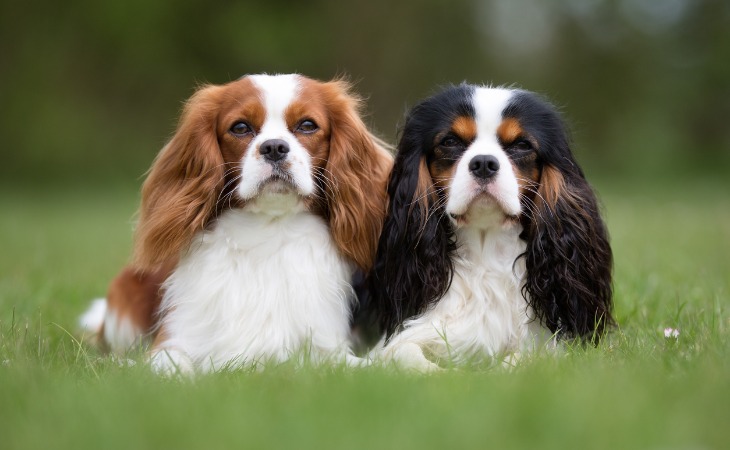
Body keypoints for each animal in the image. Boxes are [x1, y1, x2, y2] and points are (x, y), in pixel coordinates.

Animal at [79, 75, 392, 374]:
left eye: (307, 125)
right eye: (240, 128)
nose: (274, 147)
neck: (268, 229)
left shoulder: (326, 348)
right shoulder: (173, 341)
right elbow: (169, 366)